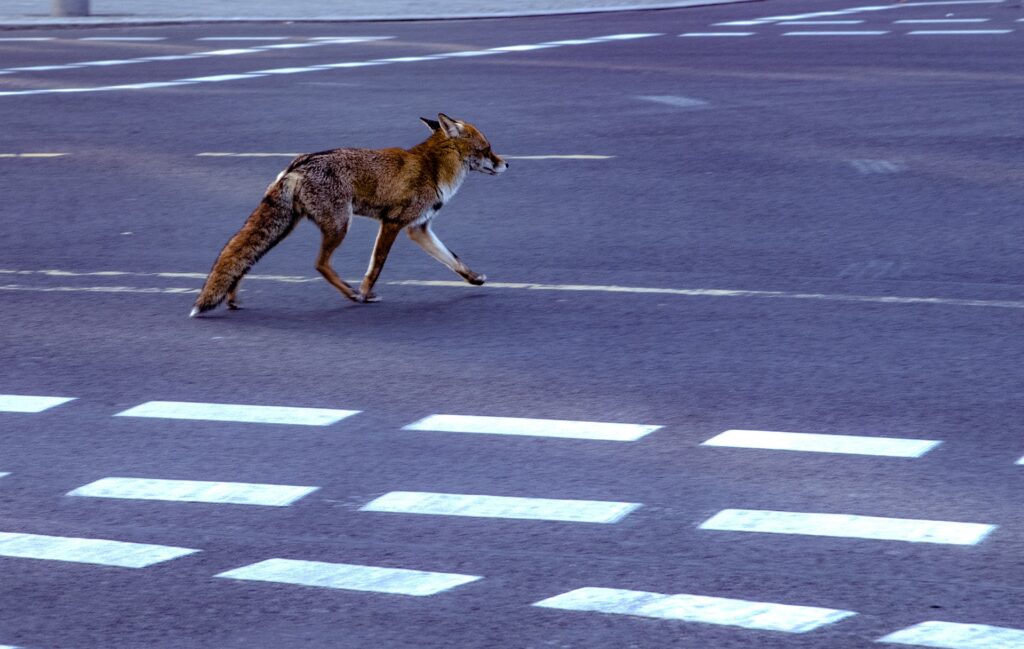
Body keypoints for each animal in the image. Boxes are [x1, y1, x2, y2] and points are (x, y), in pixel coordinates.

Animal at [189, 113, 507, 317]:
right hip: (340, 225)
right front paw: (365, 292)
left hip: (287, 227)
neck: (432, 167)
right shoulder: (393, 223)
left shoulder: (418, 228)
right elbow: (376, 266)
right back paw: (351, 293)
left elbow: (454, 260)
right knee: (320, 264)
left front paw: (474, 279)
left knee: (243, 258)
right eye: (487, 149)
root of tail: (297, 164)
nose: (507, 164)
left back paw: (232, 298)